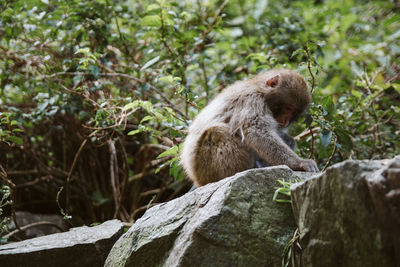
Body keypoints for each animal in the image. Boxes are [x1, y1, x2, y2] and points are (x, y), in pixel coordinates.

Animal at [181, 68, 318, 186]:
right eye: (289, 107)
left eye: (295, 114)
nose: (285, 122)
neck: (259, 89)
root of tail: (196, 179)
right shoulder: (251, 99)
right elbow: (256, 131)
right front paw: (299, 163)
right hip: (204, 168)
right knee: (215, 133)